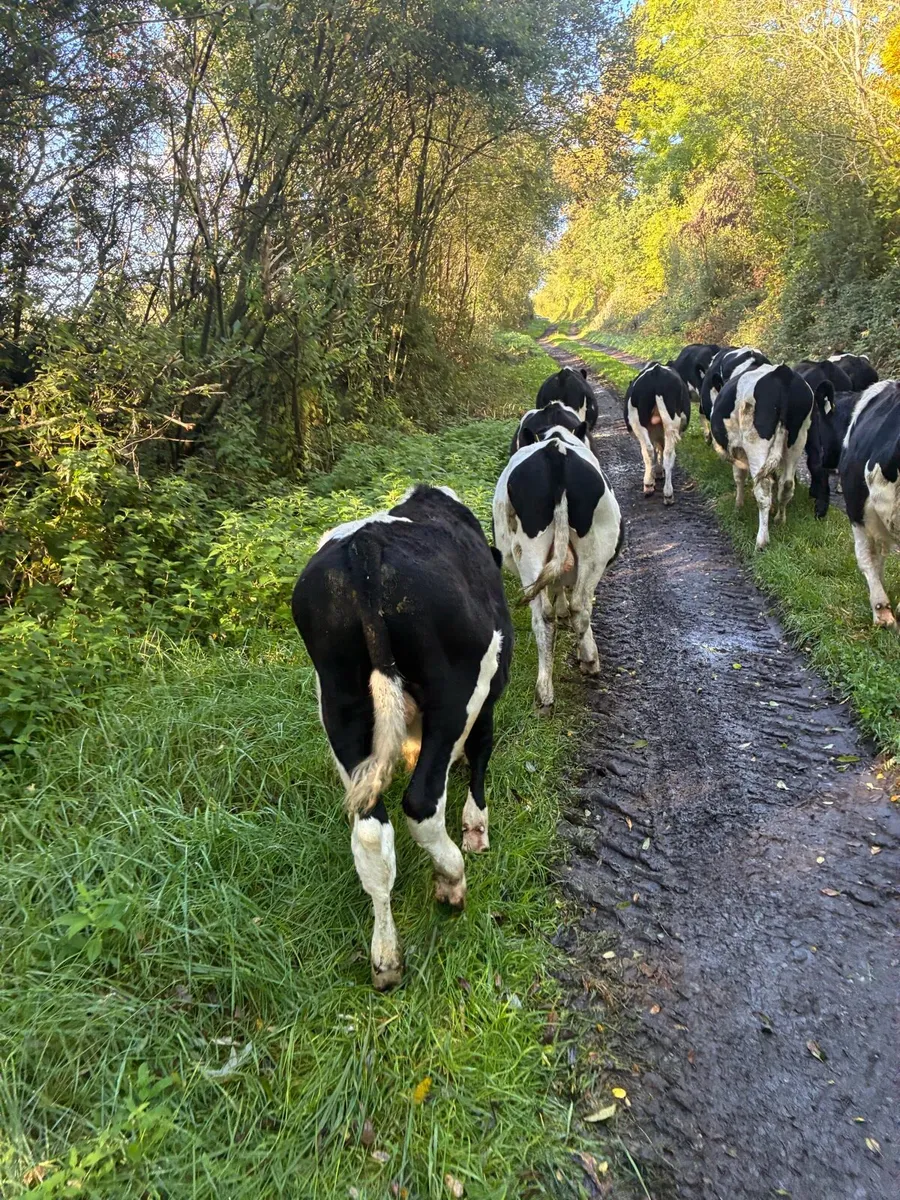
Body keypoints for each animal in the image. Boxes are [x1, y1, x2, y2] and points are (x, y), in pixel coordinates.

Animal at [291, 485, 513, 988]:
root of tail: (364, 549)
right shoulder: (488, 696)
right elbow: (480, 750)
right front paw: (477, 827)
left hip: (339, 703)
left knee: (371, 830)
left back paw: (386, 956)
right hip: (455, 693)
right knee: (422, 803)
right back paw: (452, 877)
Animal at [493, 424, 622, 713]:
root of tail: (556, 451)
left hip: (528, 550)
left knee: (543, 617)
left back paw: (544, 694)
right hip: (595, 549)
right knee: (580, 607)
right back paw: (589, 660)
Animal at [623, 361, 690, 505]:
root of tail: (656, 371)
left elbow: (656, 449)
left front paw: (656, 473)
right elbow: (660, 449)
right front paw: (658, 472)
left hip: (639, 423)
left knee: (649, 451)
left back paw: (649, 484)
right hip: (669, 423)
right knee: (668, 453)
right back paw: (667, 493)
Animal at [710, 363, 815, 549]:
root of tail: (783, 374)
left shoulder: (738, 450)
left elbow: (739, 477)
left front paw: (738, 505)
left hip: (755, 443)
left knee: (763, 489)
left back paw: (762, 540)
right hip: (798, 438)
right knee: (787, 484)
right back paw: (780, 519)